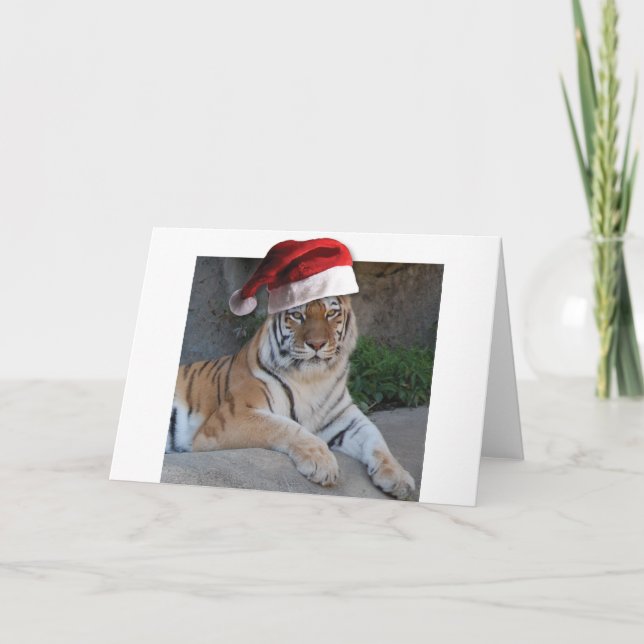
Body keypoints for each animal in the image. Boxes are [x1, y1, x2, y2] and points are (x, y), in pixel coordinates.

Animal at [165, 295, 416, 500]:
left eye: (331, 313)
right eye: (297, 315)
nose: (316, 344)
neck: (313, 379)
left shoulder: (346, 418)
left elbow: (377, 439)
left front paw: (399, 478)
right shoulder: (231, 418)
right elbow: (286, 427)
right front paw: (322, 463)